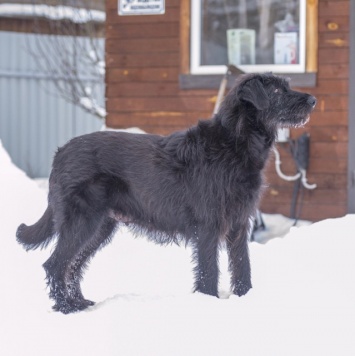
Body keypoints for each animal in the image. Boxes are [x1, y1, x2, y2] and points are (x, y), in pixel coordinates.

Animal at [16, 73, 318, 314]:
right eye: (276, 90)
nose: (314, 100)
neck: (235, 142)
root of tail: (59, 154)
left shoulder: (239, 224)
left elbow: (242, 265)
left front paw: (245, 298)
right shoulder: (208, 227)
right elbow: (209, 270)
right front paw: (208, 302)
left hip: (100, 227)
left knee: (74, 265)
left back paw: (78, 303)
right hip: (82, 221)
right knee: (55, 264)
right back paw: (66, 308)